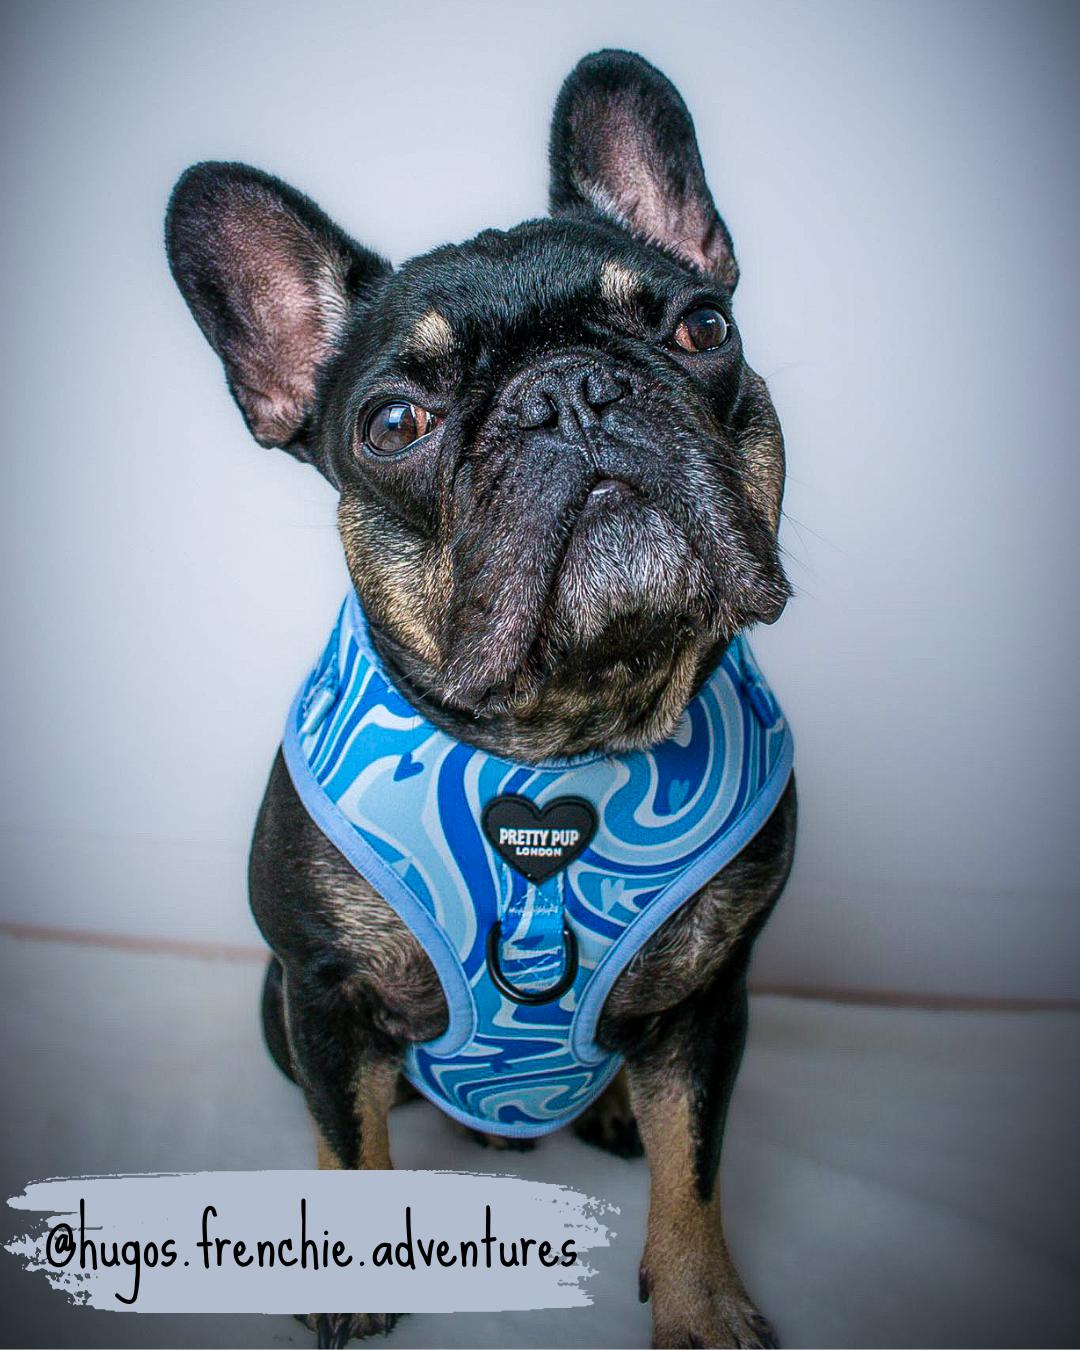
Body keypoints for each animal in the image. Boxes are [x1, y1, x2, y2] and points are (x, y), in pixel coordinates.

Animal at [166, 47, 793, 1344]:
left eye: (703, 325)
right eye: (394, 422)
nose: (571, 393)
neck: (561, 742)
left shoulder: (713, 1000)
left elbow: (696, 1162)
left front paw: (702, 1301)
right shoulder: (324, 992)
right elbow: (348, 1144)